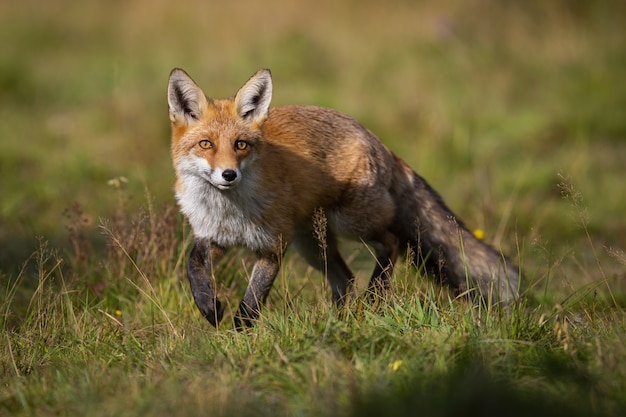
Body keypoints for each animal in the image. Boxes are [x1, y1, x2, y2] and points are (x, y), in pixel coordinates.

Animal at [166, 68, 516, 328]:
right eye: (206, 144)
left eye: (241, 145)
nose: (229, 175)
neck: (229, 211)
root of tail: (378, 141)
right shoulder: (212, 235)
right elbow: (193, 265)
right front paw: (208, 307)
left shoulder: (271, 247)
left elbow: (251, 304)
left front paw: (239, 338)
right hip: (312, 245)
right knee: (345, 280)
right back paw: (339, 322)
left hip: (348, 222)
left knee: (391, 243)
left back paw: (374, 298)